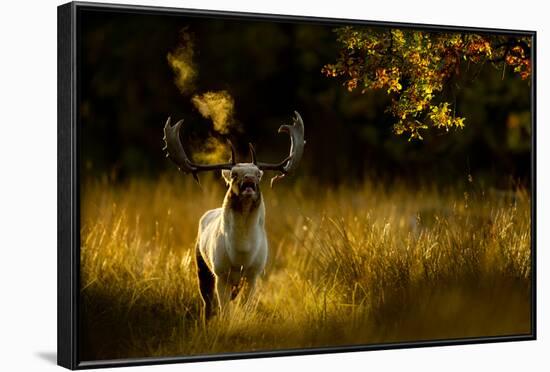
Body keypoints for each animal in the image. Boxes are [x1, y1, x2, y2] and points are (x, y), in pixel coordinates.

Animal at [162, 110, 306, 320]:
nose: (249, 180)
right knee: (208, 305)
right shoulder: (221, 273)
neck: (241, 254)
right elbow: (224, 312)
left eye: (259, 174)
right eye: (234, 174)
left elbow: (245, 309)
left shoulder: (254, 274)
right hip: (202, 266)